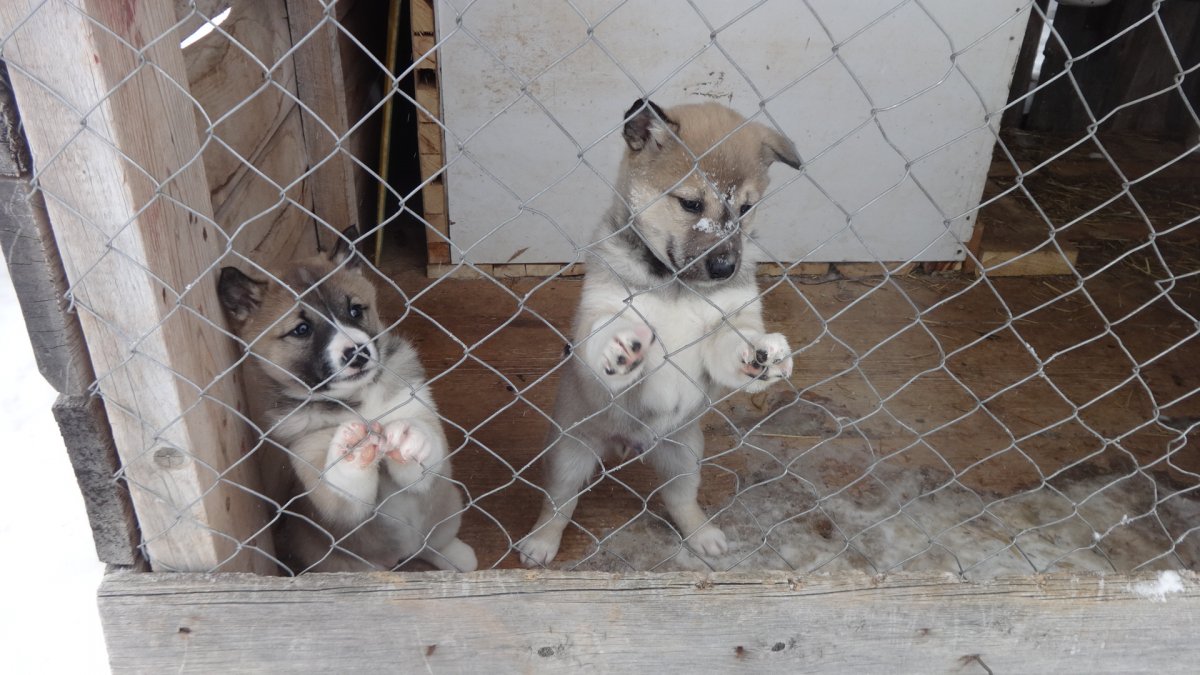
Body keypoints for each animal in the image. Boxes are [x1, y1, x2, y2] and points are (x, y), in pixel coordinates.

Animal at [218, 228, 475, 569]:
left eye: (355, 310)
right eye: (302, 329)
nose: (358, 353)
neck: (359, 400)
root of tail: (399, 555)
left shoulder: (418, 410)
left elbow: (425, 446)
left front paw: (407, 436)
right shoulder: (319, 470)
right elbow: (343, 484)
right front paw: (354, 448)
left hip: (448, 505)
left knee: (434, 543)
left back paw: (457, 557)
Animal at [513, 98, 796, 562]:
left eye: (745, 209)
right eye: (691, 204)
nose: (725, 267)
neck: (676, 285)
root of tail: (627, 445)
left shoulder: (726, 324)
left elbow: (733, 343)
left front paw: (760, 357)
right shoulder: (605, 304)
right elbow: (604, 328)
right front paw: (617, 348)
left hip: (684, 455)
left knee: (681, 499)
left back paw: (701, 534)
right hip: (570, 454)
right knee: (558, 503)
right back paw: (540, 541)